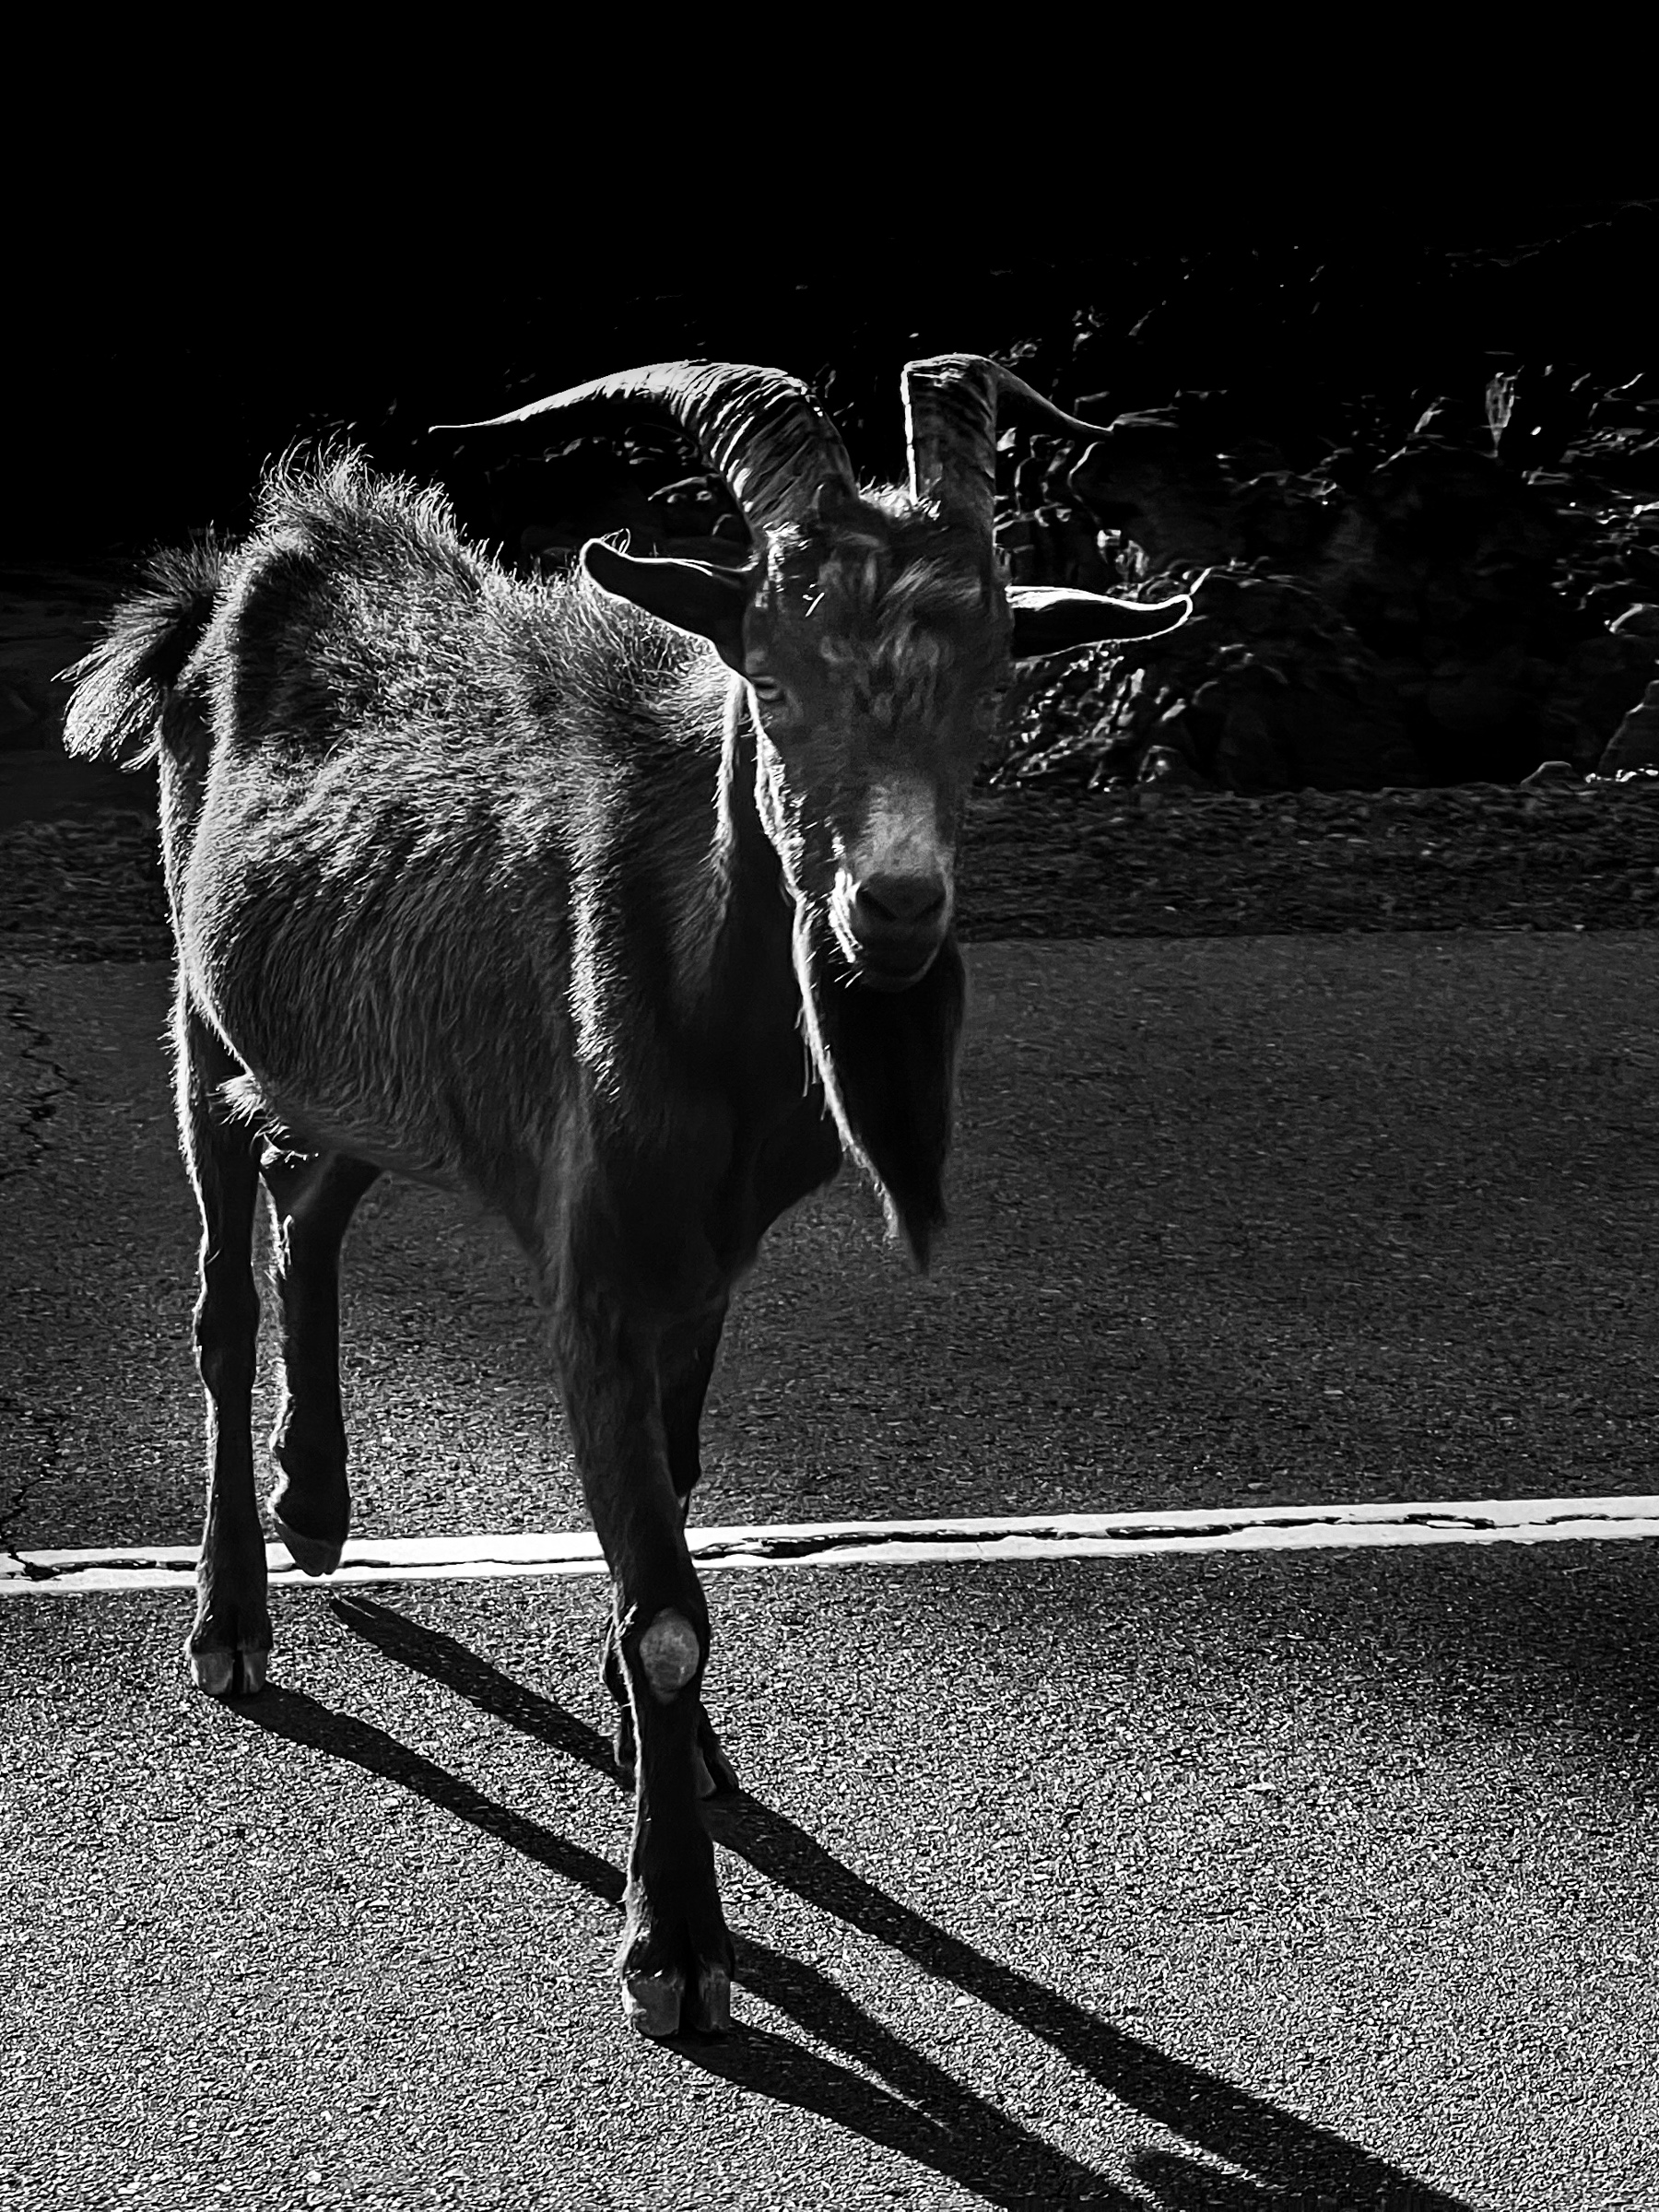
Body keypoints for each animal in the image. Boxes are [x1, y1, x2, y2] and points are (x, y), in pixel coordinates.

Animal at [64, 357, 1189, 2038]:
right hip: (201, 1022)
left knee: (312, 1201)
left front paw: (681, 1755)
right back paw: (232, 1619)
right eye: (768, 677)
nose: (894, 908)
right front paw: (675, 1941)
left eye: (997, 686)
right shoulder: (592, 1275)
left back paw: (315, 1504)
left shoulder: (711, 1263)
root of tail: (239, 571)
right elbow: (665, 1612)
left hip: (374, 1071)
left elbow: (684, 1480)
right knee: (218, 1292)